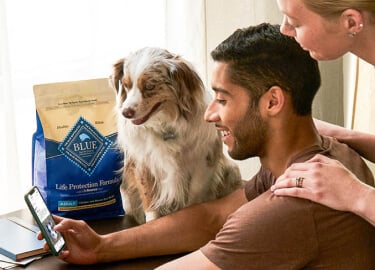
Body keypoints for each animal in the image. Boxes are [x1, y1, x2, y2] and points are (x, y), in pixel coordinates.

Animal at [110, 46, 242, 224]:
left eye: (150, 86)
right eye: (126, 85)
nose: (126, 112)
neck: (166, 127)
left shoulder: (202, 162)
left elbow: (194, 198)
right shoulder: (143, 164)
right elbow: (150, 201)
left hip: (232, 170)